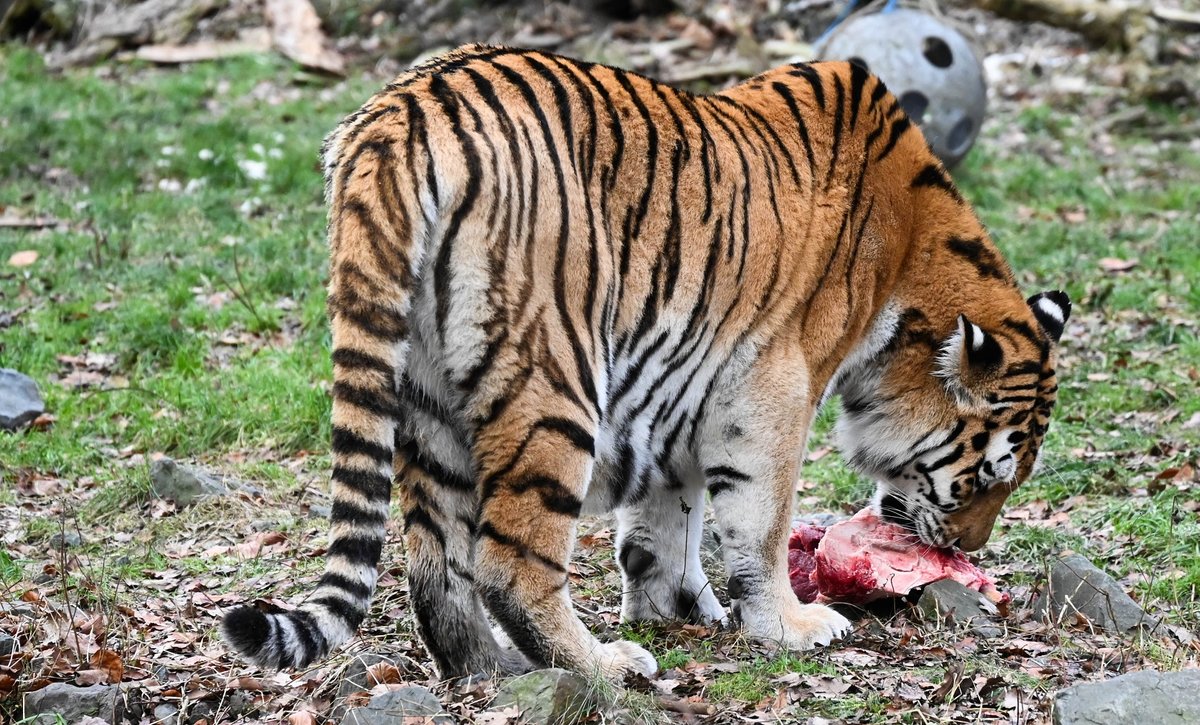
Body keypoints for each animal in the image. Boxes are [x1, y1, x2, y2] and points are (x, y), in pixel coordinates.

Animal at [221, 44, 1070, 680]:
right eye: (987, 478)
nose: (967, 550)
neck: (911, 267)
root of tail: (400, 110)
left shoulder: (686, 379)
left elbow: (672, 511)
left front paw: (677, 600)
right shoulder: (773, 384)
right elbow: (760, 522)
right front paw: (788, 624)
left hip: (428, 399)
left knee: (437, 564)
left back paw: (489, 667)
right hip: (554, 385)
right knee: (510, 563)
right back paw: (604, 664)